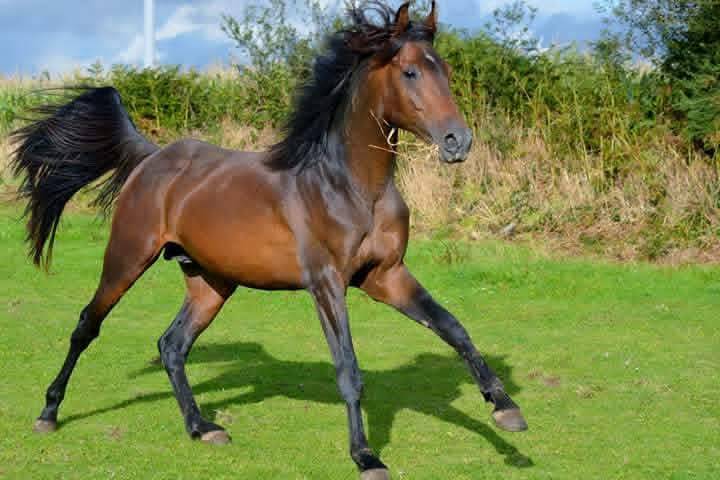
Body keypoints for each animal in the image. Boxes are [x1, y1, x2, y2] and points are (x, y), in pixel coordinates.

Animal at [11, 2, 526, 478]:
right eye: (411, 71)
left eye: (447, 71)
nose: (458, 141)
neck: (351, 187)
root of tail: (152, 158)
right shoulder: (326, 283)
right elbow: (348, 367)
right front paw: (365, 456)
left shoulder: (386, 277)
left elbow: (453, 327)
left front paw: (505, 410)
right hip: (128, 257)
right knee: (87, 325)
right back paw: (49, 413)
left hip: (211, 283)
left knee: (172, 345)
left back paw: (203, 428)